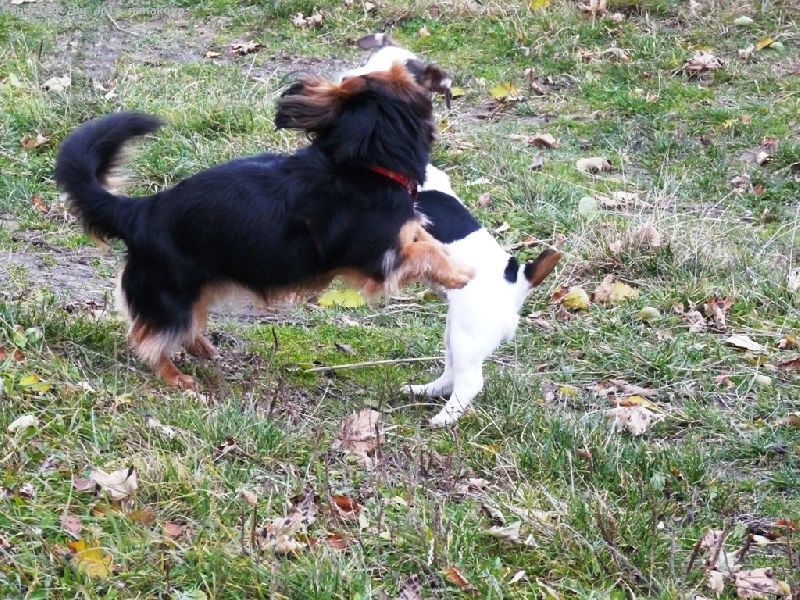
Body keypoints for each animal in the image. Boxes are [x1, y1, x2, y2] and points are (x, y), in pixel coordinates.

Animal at [55, 63, 473, 390]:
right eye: (405, 72)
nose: (421, 65)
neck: (363, 161)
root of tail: (139, 211)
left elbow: (424, 237)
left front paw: (453, 265)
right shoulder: (377, 258)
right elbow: (423, 248)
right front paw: (460, 274)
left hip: (193, 291)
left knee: (179, 327)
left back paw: (202, 347)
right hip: (169, 296)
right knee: (147, 338)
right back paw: (176, 377)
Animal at [342, 37, 562, 426]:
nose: (344, 80)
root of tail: (519, 281)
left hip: (467, 333)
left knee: (470, 381)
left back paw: (445, 419)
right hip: (454, 331)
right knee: (451, 374)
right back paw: (424, 391)